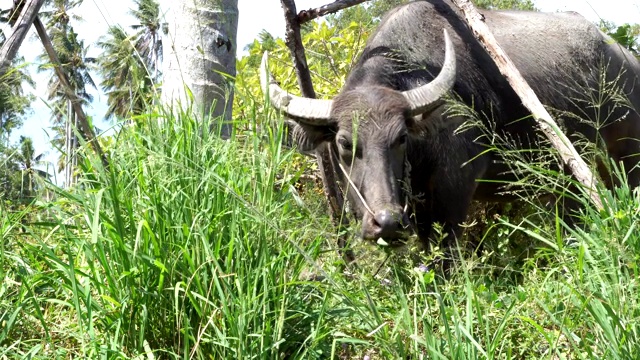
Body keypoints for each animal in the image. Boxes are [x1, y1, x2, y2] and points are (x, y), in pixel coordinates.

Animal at [258, 0, 640, 248]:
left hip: (626, 155)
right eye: (344, 144)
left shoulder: (454, 188)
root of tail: (624, 58)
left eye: (400, 139)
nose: (387, 222)